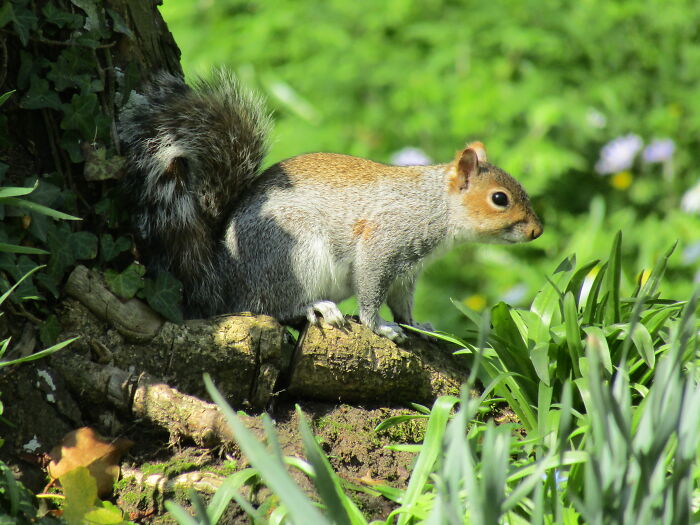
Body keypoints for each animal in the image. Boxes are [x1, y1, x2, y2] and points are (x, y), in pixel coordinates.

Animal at [119, 70, 543, 342]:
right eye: (499, 199)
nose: (537, 230)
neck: (432, 204)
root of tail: (222, 282)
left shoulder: (408, 270)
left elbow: (402, 301)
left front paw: (416, 324)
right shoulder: (383, 243)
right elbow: (371, 292)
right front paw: (381, 327)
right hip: (294, 256)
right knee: (270, 308)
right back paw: (317, 307)